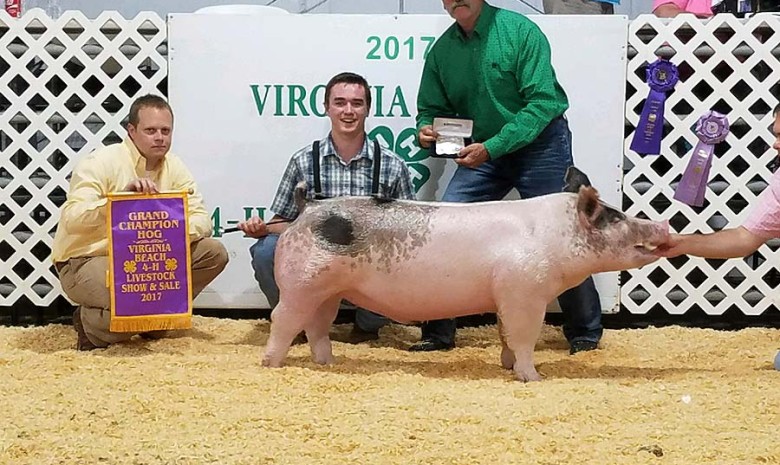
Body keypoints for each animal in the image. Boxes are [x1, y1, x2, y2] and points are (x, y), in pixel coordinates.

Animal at [264, 167, 672, 380]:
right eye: (614, 217)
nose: (663, 224)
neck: (553, 236)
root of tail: (307, 208)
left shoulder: (506, 295)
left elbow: (507, 335)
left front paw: (508, 367)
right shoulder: (525, 291)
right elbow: (524, 337)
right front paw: (533, 378)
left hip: (327, 291)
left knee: (316, 326)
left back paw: (328, 363)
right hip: (300, 283)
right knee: (283, 319)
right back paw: (271, 365)